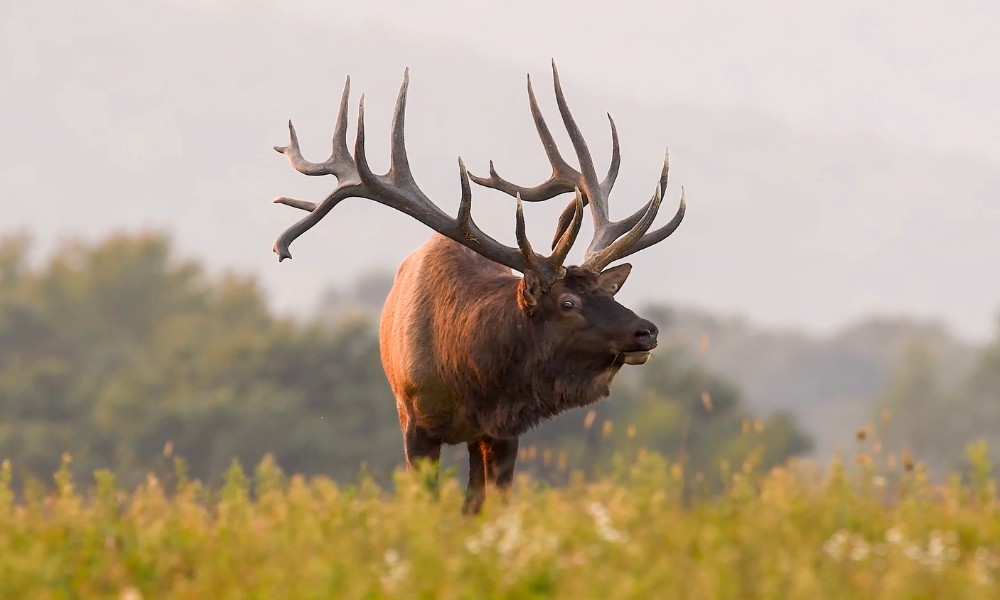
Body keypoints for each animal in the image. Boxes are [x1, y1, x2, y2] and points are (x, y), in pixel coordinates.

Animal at [270, 62, 684, 516]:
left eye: (609, 293)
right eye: (567, 302)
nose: (647, 330)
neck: (467, 377)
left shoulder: (503, 431)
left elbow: (488, 505)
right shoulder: (415, 422)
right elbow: (426, 502)